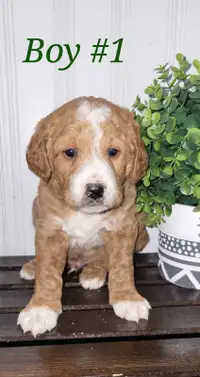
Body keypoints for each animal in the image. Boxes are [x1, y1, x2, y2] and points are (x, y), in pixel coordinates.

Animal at [17, 96, 150, 334]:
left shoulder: (123, 227)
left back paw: (94, 272)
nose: (95, 190)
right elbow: (47, 270)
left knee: (103, 258)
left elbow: (122, 265)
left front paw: (128, 299)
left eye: (113, 152)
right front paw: (40, 309)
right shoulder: (49, 229)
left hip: (141, 229)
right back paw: (32, 266)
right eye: (70, 152)